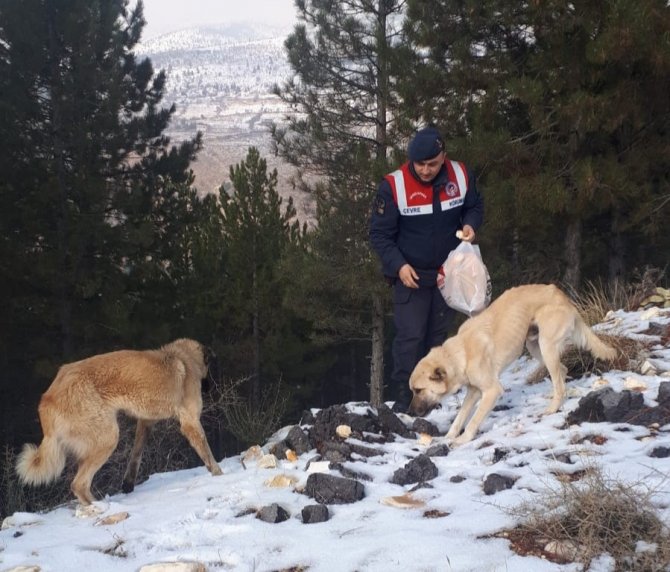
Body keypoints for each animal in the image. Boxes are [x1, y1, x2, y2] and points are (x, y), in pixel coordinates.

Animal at [16, 340, 223, 504]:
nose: (210, 388)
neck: (183, 359)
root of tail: (47, 399)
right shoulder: (190, 422)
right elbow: (207, 452)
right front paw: (219, 474)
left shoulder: (145, 422)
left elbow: (136, 454)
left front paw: (128, 484)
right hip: (108, 438)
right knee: (78, 484)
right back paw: (101, 508)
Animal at [406, 284, 616, 444]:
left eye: (418, 390)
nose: (409, 412)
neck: (459, 353)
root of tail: (561, 295)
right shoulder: (473, 391)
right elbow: (460, 418)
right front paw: (449, 437)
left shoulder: (491, 391)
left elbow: (473, 420)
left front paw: (463, 440)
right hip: (535, 346)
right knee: (561, 372)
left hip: (546, 346)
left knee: (558, 377)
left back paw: (552, 408)